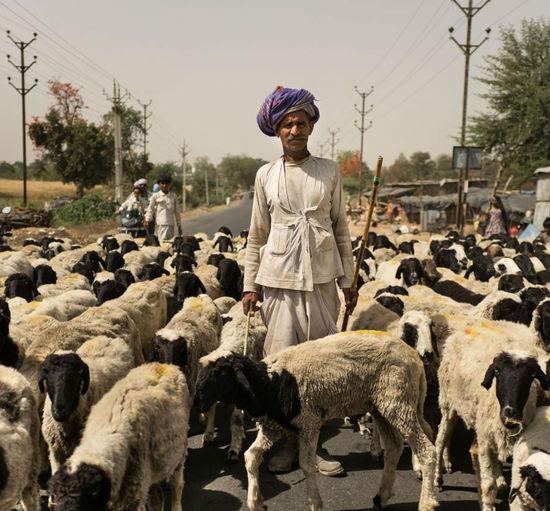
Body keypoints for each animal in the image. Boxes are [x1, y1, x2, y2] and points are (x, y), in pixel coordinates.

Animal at [50, 364, 192, 511]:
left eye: (91, 494)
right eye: (56, 497)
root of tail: (164, 366)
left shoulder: (134, 497)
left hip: (179, 455)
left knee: (177, 486)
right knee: (157, 496)